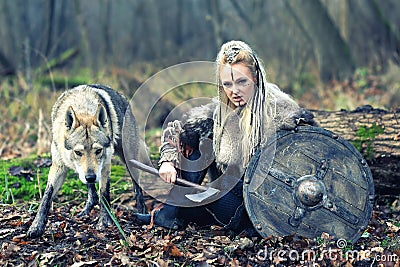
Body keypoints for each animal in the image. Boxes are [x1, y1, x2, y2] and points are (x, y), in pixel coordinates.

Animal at [27, 84, 145, 239]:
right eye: (78, 152)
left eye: (98, 151)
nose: (91, 176)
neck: (83, 108)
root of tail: (123, 97)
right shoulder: (58, 167)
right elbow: (46, 197)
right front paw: (36, 226)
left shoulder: (105, 166)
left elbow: (104, 194)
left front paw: (104, 222)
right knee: (92, 194)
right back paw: (85, 212)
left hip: (127, 157)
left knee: (137, 186)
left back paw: (142, 211)